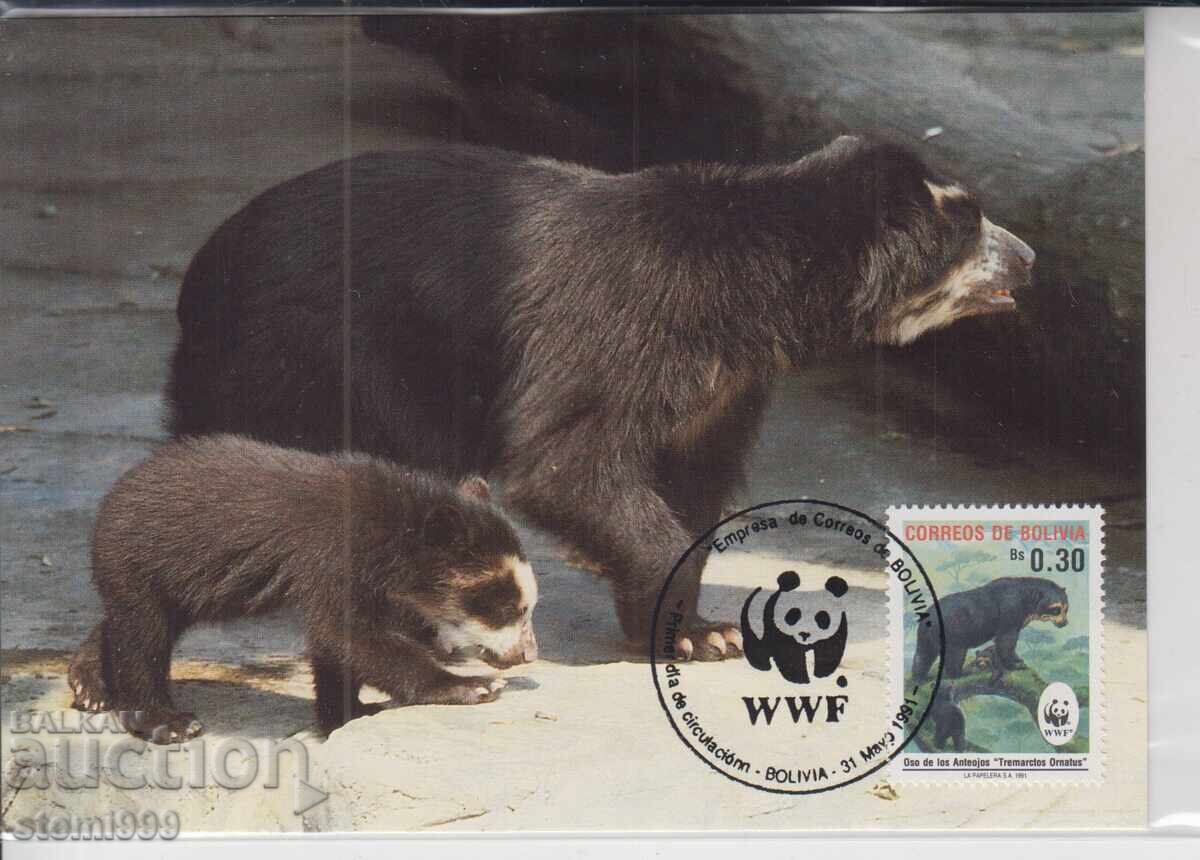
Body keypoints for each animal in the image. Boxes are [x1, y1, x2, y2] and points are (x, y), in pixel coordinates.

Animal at [67, 435, 538, 743]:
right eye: (506, 607)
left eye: (526, 606)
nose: (526, 655)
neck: (394, 530)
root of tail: (116, 490)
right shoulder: (333, 554)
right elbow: (347, 633)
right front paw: (474, 686)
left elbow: (337, 644)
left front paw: (351, 714)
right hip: (142, 559)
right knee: (143, 634)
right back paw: (167, 721)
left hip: (184, 581)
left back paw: (89, 683)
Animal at [164, 137, 1035, 661]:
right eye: (969, 224)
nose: (1029, 257)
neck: (755, 292)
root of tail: (208, 263)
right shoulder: (620, 325)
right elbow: (569, 461)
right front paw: (689, 631)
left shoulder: (724, 384)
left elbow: (690, 479)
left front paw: (698, 632)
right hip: (320, 349)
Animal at [911, 576, 1068, 685]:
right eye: (1056, 609)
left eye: (1066, 608)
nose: (1064, 623)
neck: (1025, 600)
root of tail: (928, 617)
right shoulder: (1010, 612)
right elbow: (1006, 641)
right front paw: (1015, 665)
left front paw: (1018, 659)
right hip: (953, 632)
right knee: (954, 654)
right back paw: (959, 674)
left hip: (926, 636)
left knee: (923, 655)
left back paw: (919, 678)